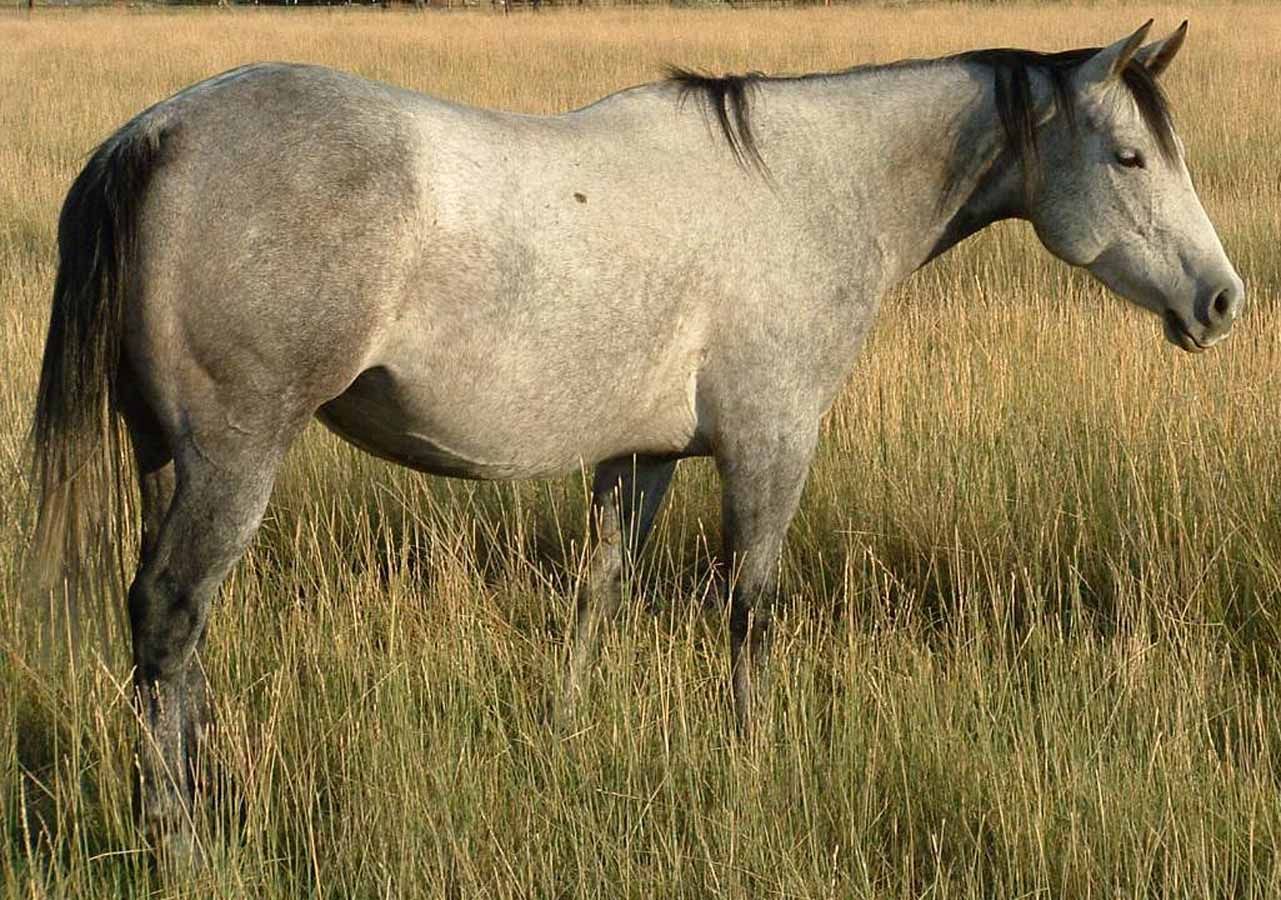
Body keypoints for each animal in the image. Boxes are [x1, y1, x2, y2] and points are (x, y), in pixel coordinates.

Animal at [29, 20, 1243, 861]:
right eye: (1130, 157)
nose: (1224, 301)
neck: (802, 190)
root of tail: (158, 132)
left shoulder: (641, 457)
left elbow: (597, 596)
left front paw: (560, 746)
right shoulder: (770, 442)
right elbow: (751, 612)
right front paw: (751, 771)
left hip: (167, 456)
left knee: (171, 636)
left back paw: (197, 796)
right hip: (236, 454)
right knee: (171, 613)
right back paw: (178, 838)